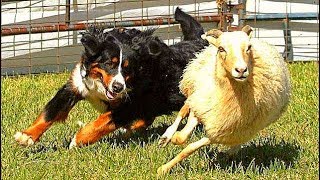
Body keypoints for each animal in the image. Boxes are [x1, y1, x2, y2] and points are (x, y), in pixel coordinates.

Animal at [13, 7, 209, 148]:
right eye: (109, 63)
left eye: (128, 68)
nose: (118, 87)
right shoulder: (75, 86)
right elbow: (50, 112)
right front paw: (27, 136)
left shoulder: (130, 103)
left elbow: (102, 121)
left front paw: (79, 139)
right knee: (147, 118)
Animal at [156, 25, 292, 174]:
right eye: (221, 49)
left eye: (249, 47)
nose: (241, 70)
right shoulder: (202, 105)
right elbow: (183, 134)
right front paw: (166, 159)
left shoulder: (222, 130)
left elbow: (189, 148)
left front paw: (164, 168)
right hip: (194, 86)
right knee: (184, 109)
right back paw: (166, 136)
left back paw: (231, 152)